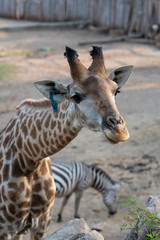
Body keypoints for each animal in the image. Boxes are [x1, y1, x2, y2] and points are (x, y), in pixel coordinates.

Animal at [0, 46, 133, 239]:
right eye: (76, 96)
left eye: (116, 91)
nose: (119, 131)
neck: (29, 159)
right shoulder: (6, 226)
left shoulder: (41, 221)